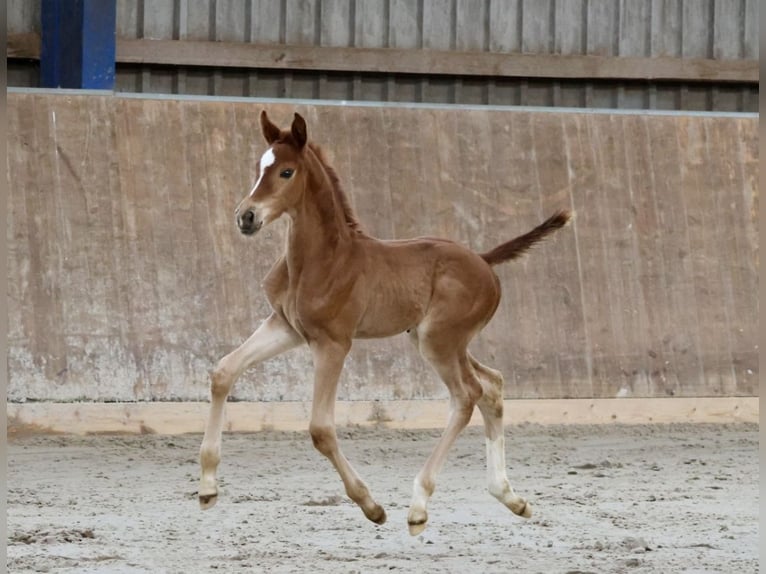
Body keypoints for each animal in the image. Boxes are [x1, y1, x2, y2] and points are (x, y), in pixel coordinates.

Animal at [201, 111, 572, 536]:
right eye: (259, 167)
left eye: (286, 172)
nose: (246, 217)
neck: (322, 260)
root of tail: (483, 259)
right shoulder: (286, 328)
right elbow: (223, 372)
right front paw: (207, 487)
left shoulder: (333, 343)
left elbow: (321, 429)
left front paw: (371, 506)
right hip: (440, 340)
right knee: (491, 385)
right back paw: (511, 498)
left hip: (438, 341)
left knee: (467, 395)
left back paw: (419, 506)